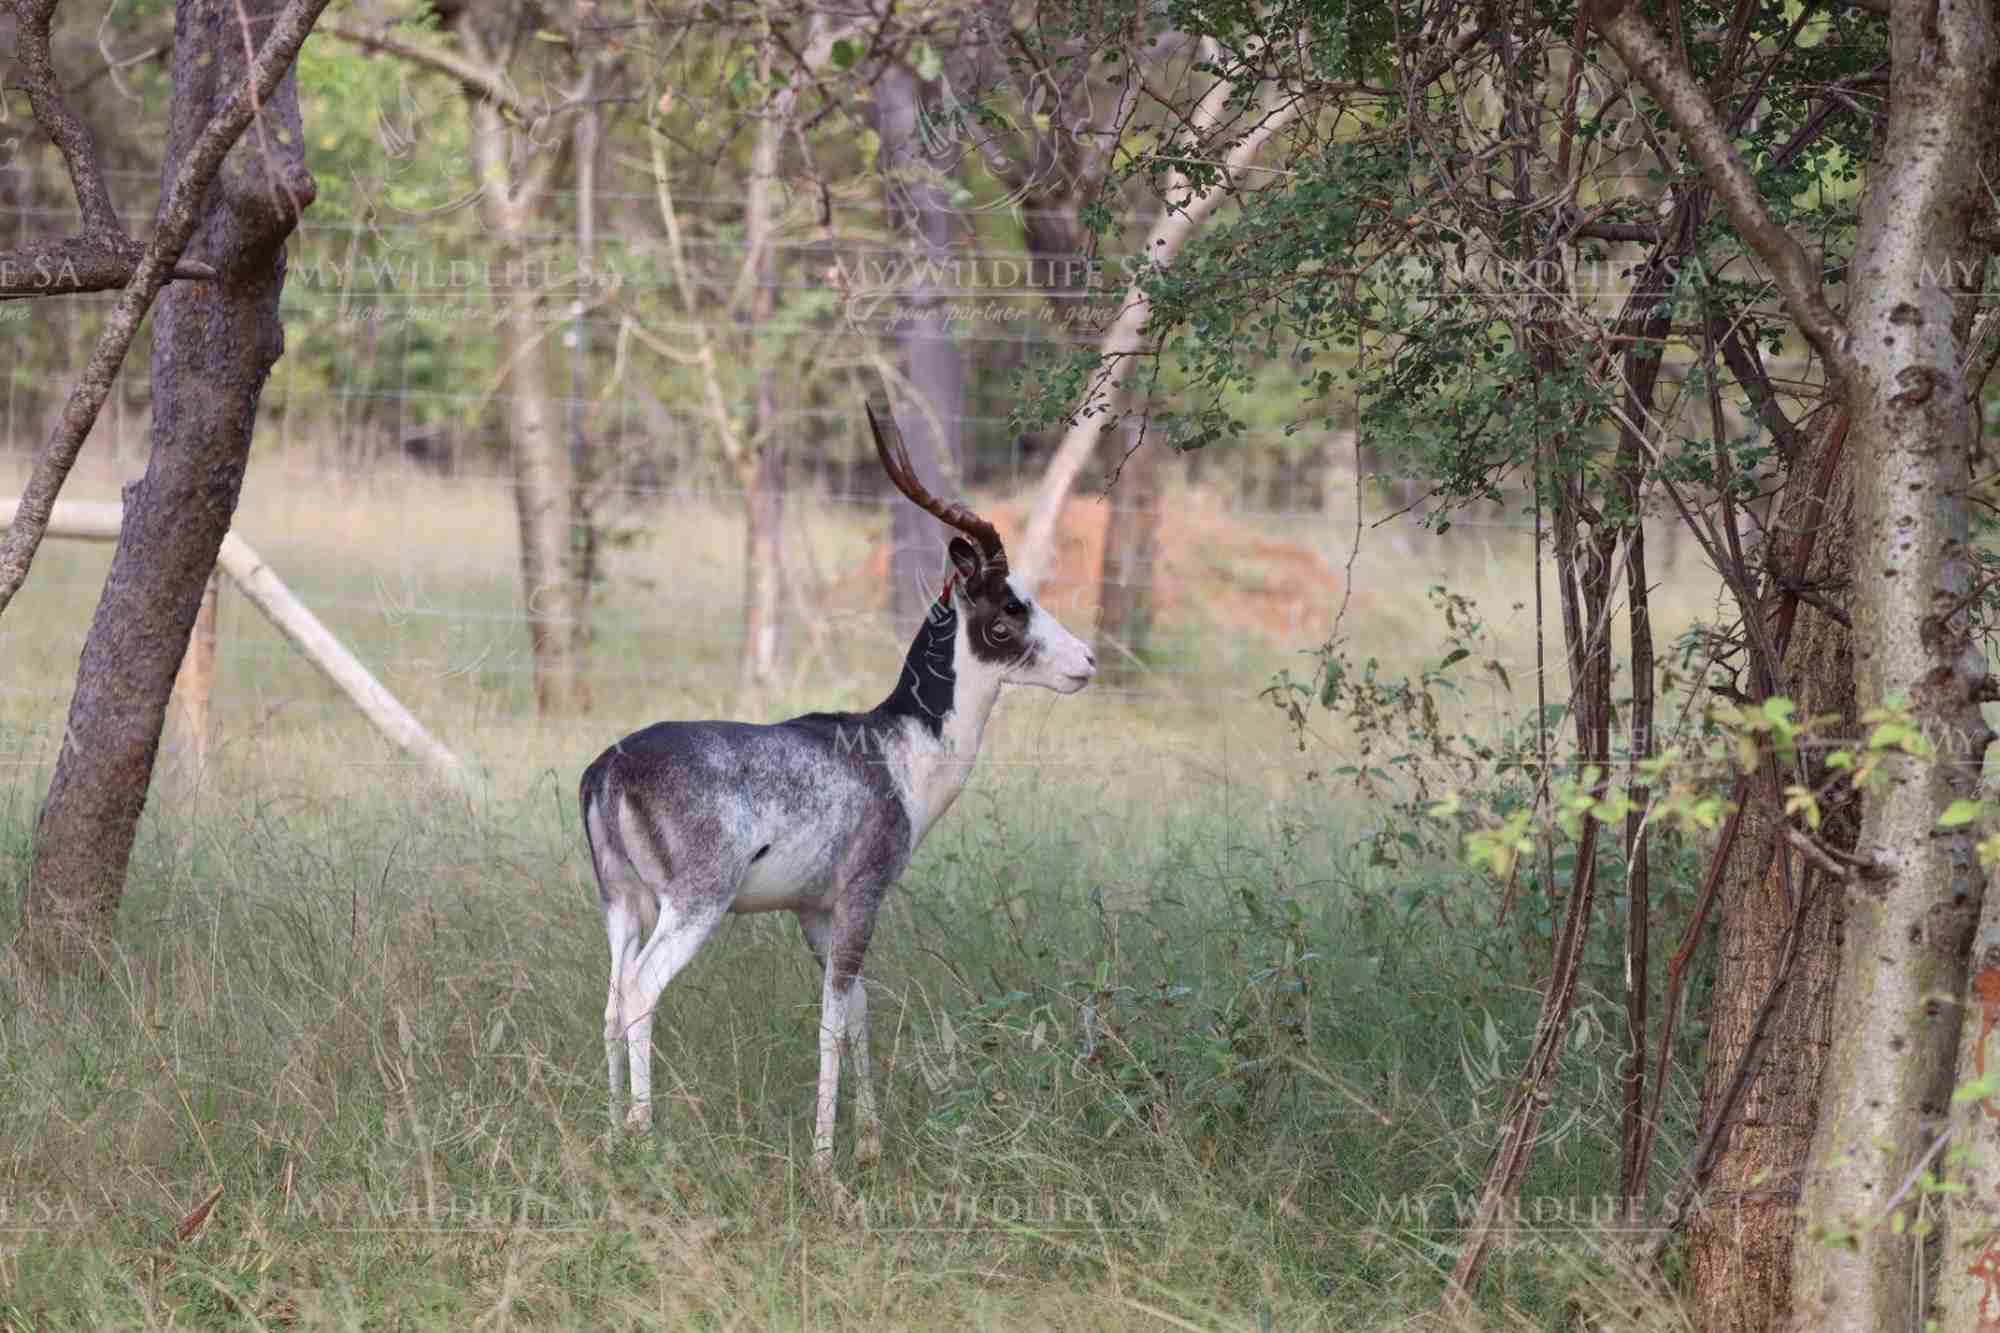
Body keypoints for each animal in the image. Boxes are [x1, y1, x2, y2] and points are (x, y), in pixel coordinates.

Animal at [579, 403, 1097, 1170]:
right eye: (1009, 609)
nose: (1087, 661)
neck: (896, 746)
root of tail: (609, 766)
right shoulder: (861, 895)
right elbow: (831, 1016)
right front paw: (825, 1157)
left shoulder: (816, 912)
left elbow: (855, 1012)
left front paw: (870, 1140)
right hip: (693, 905)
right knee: (642, 990)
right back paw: (644, 1132)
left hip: (622, 903)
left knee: (613, 998)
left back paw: (614, 1129)